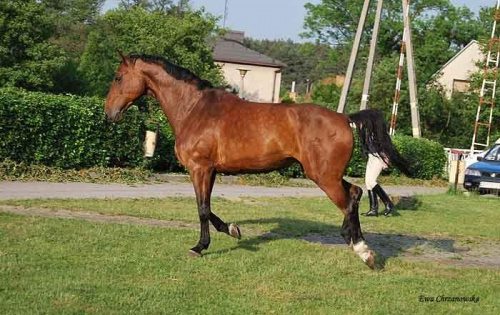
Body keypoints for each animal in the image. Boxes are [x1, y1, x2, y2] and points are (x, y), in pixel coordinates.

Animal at [103, 51, 408, 270]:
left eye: (118, 77)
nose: (109, 113)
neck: (194, 109)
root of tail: (345, 118)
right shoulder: (210, 171)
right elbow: (208, 208)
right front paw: (233, 230)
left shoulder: (199, 168)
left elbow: (202, 209)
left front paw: (199, 247)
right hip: (328, 175)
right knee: (355, 192)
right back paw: (357, 242)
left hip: (323, 177)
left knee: (348, 202)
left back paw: (363, 252)